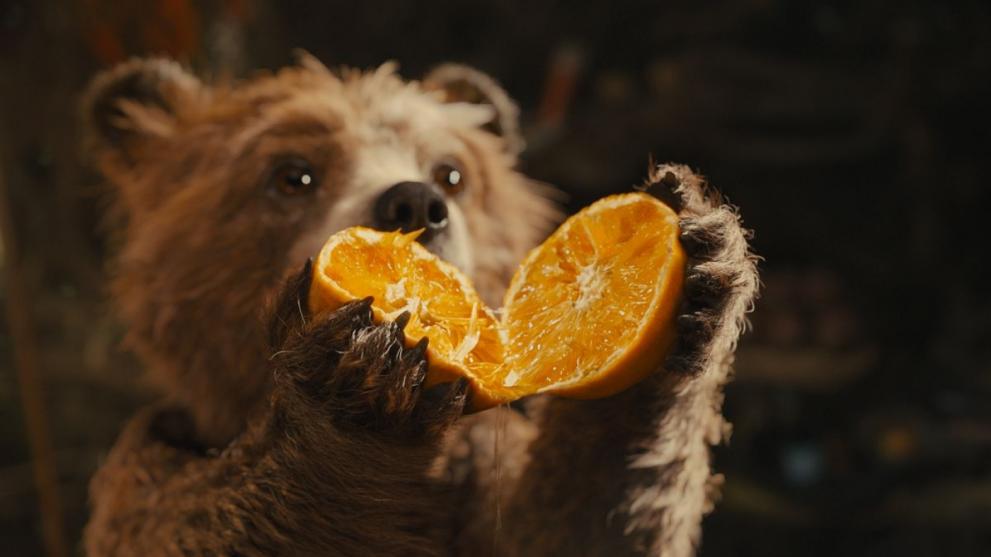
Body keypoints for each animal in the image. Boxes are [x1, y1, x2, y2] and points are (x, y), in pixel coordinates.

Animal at [80, 53, 759, 556]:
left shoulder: (479, 489)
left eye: (452, 171)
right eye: (293, 173)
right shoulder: (148, 488)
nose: (415, 202)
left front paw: (699, 263)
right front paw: (357, 373)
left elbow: (585, 518)